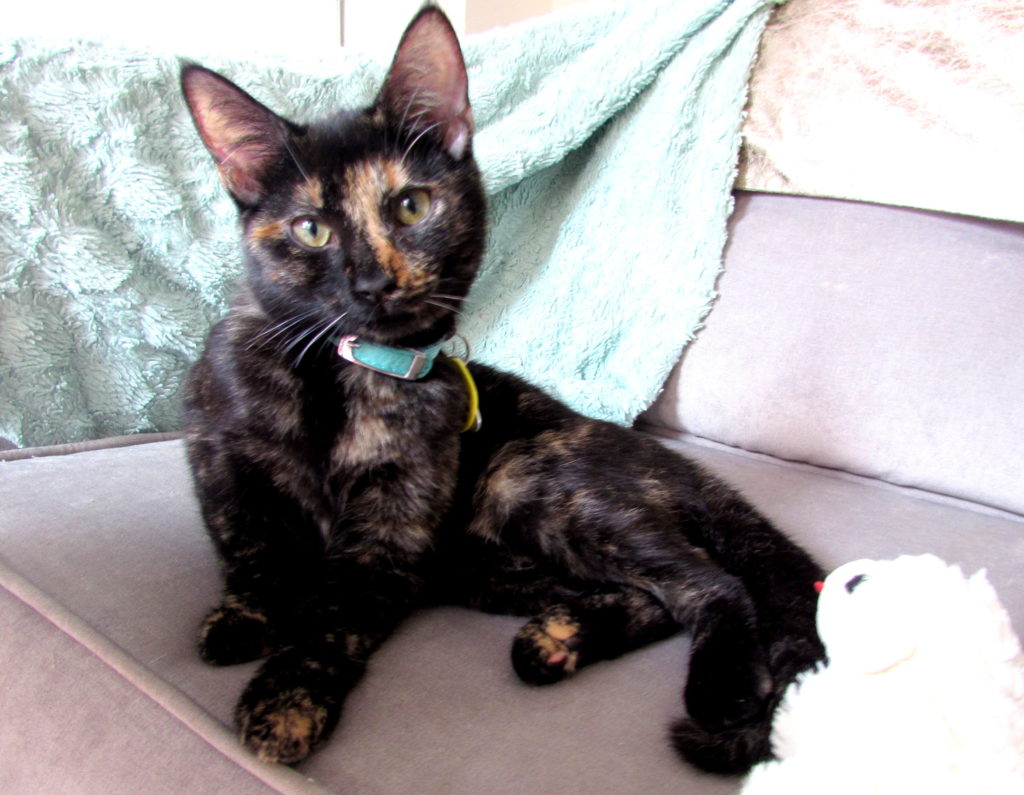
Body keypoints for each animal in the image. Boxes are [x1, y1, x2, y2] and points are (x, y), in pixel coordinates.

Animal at [180, 4, 824, 774]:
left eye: (411, 206)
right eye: (310, 229)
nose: (373, 282)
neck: (341, 373)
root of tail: (672, 463)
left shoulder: (388, 539)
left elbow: (330, 618)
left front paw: (284, 701)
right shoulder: (218, 454)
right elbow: (249, 548)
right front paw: (244, 618)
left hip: (529, 481)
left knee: (707, 581)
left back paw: (717, 683)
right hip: (480, 565)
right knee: (644, 596)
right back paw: (557, 640)